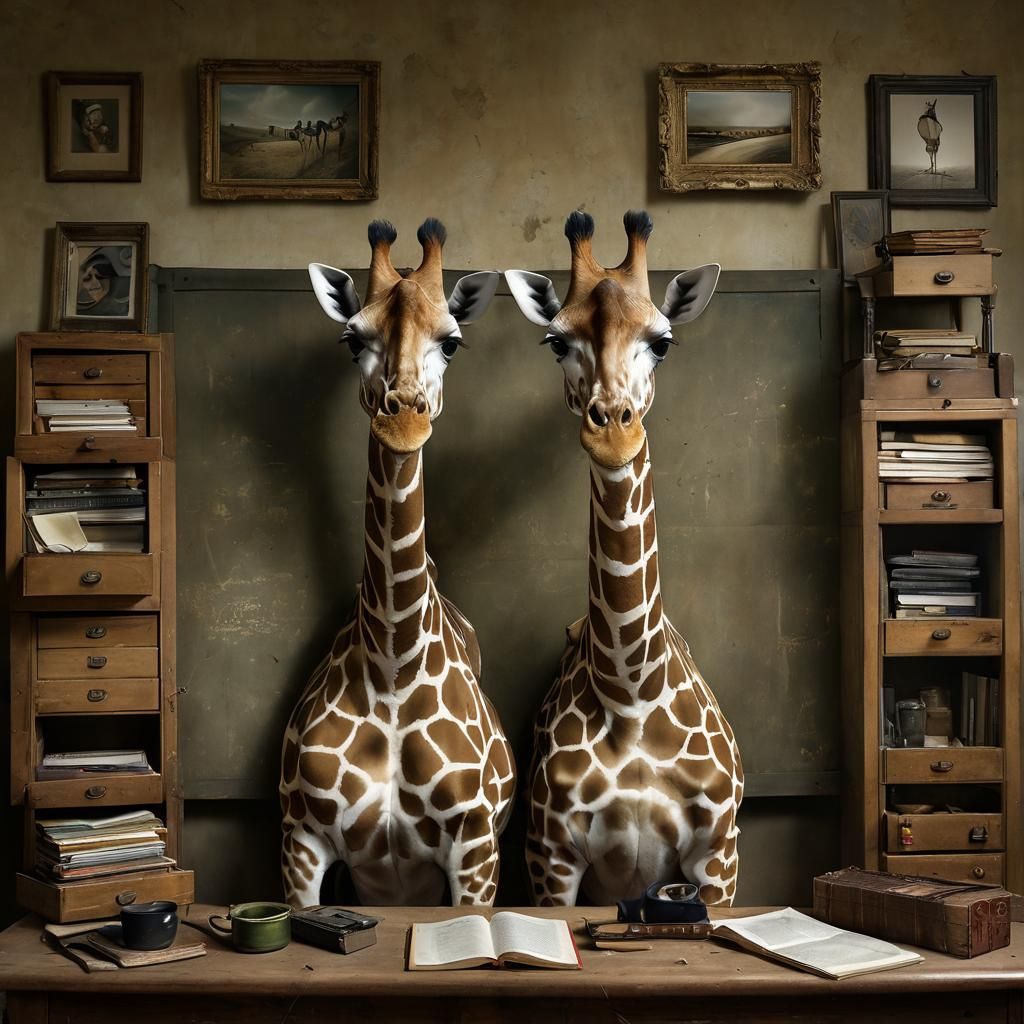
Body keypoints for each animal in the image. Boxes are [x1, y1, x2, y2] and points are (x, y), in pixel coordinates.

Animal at [280, 218, 515, 907]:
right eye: (352, 336)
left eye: (453, 342)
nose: (403, 417)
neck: (391, 662)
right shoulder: (301, 842)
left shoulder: (476, 851)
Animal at [505, 210, 744, 907]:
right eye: (556, 341)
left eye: (662, 341)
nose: (614, 427)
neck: (632, 691)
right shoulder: (549, 858)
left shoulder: (719, 858)